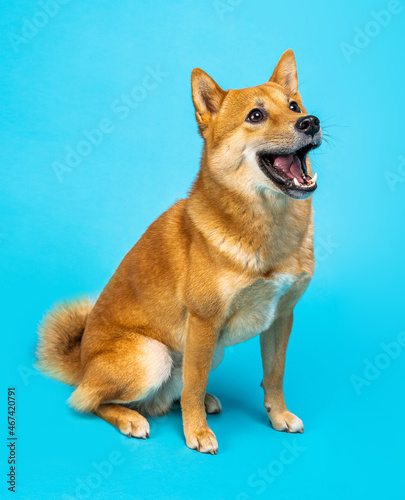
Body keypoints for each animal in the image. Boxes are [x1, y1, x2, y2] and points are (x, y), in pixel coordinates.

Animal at [37, 49, 322, 454]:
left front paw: (278, 415)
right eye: (256, 115)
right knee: (90, 401)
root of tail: (83, 364)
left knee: (170, 390)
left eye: (294, 106)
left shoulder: (282, 316)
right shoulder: (203, 321)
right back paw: (130, 418)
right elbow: (195, 383)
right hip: (153, 356)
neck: (268, 224)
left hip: (208, 350)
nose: (310, 122)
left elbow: (274, 374)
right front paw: (197, 432)